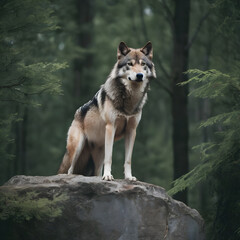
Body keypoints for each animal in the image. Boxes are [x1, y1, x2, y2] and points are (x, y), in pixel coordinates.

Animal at [57, 41, 156, 180]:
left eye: (143, 64)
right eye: (130, 64)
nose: (140, 75)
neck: (129, 100)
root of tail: (76, 114)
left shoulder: (131, 131)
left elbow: (128, 160)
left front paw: (129, 177)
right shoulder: (110, 127)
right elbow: (110, 158)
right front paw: (108, 176)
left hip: (97, 158)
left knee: (95, 172)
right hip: (77, 149)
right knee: (69, 170)